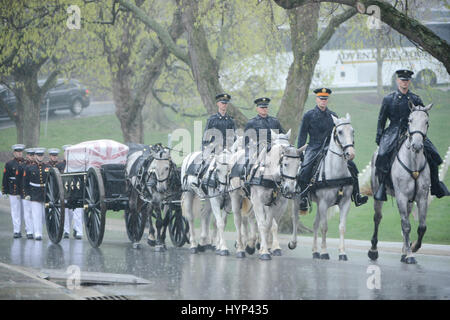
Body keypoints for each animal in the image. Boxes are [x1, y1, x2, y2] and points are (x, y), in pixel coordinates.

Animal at [246, 130, 306, 260]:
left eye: (299, 164)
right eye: (285, 164)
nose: (290, 189)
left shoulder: (276, 203)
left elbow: (270, 224)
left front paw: (268, 247)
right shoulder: (258, 201)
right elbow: (262, 224)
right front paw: (264, 252)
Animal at [290, 114, 356, 262]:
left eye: (352, 131)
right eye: (340, 132)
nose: (350, 154)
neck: (336, 172)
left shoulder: (345, 203)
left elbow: (342, 227)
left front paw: (342, 253)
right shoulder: (324, 203)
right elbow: (324, 227)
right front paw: (325, 252)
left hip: (319, 205)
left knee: (315, 224)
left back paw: (315, 251)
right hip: (298, 200)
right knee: (295, 219)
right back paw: (293, 242)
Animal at [370, 103, 432, 264]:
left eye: (426, 122)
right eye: (410, 120)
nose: (417, 145)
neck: (413, 163)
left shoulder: (422, 197)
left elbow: (422, 227)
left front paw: (413, 247)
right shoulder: (401, 197)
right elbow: (406, 226)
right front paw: (410, 254)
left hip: (410, 201)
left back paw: (404, 251)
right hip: (378, 195)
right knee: (377, 218)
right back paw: (373, 250)